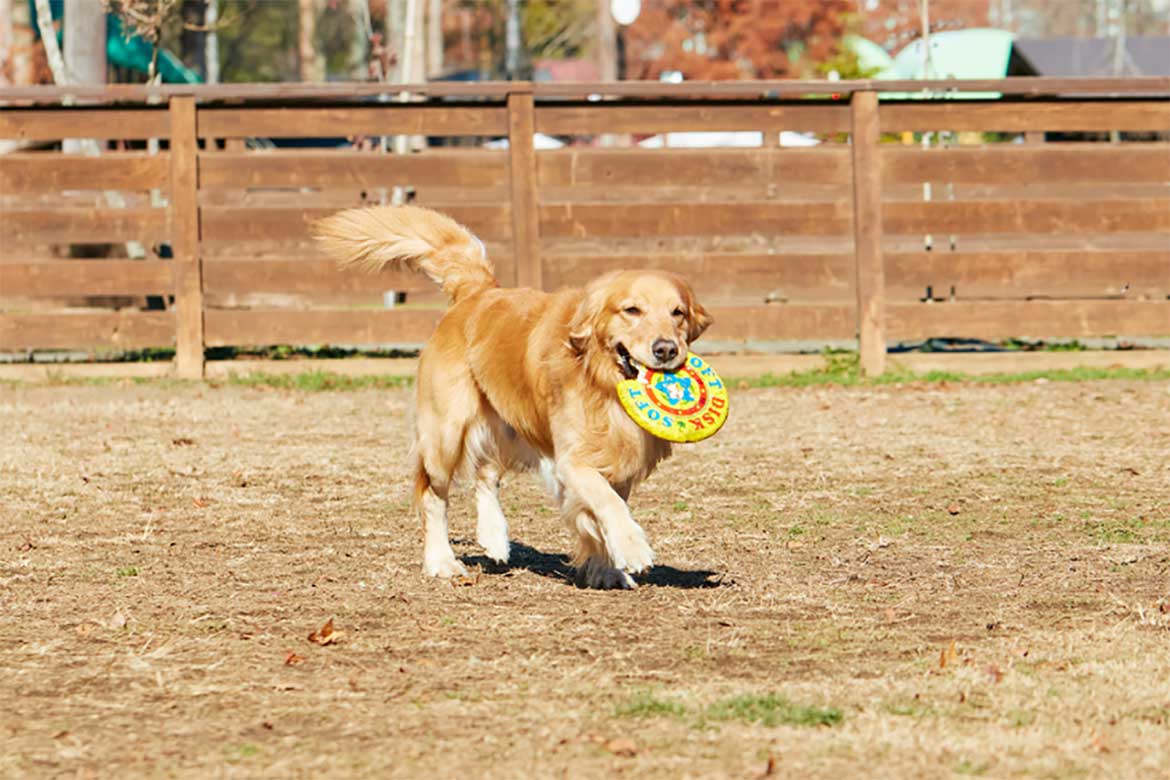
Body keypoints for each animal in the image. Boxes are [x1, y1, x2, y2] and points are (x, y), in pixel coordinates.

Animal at [313, 204, 711, 589]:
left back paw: (493, 535)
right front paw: (631, 547)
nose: (666, 349)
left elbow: (598, 512)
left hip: (507, 423)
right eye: (631, 310)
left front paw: (604, 567)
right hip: (446, 434)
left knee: (487, 473)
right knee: (433, 495)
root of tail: (476, 291)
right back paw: (441, 560)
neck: (600, 382)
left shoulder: (618, 460)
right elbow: (607, 502)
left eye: (678, 313)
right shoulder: (572, 460)